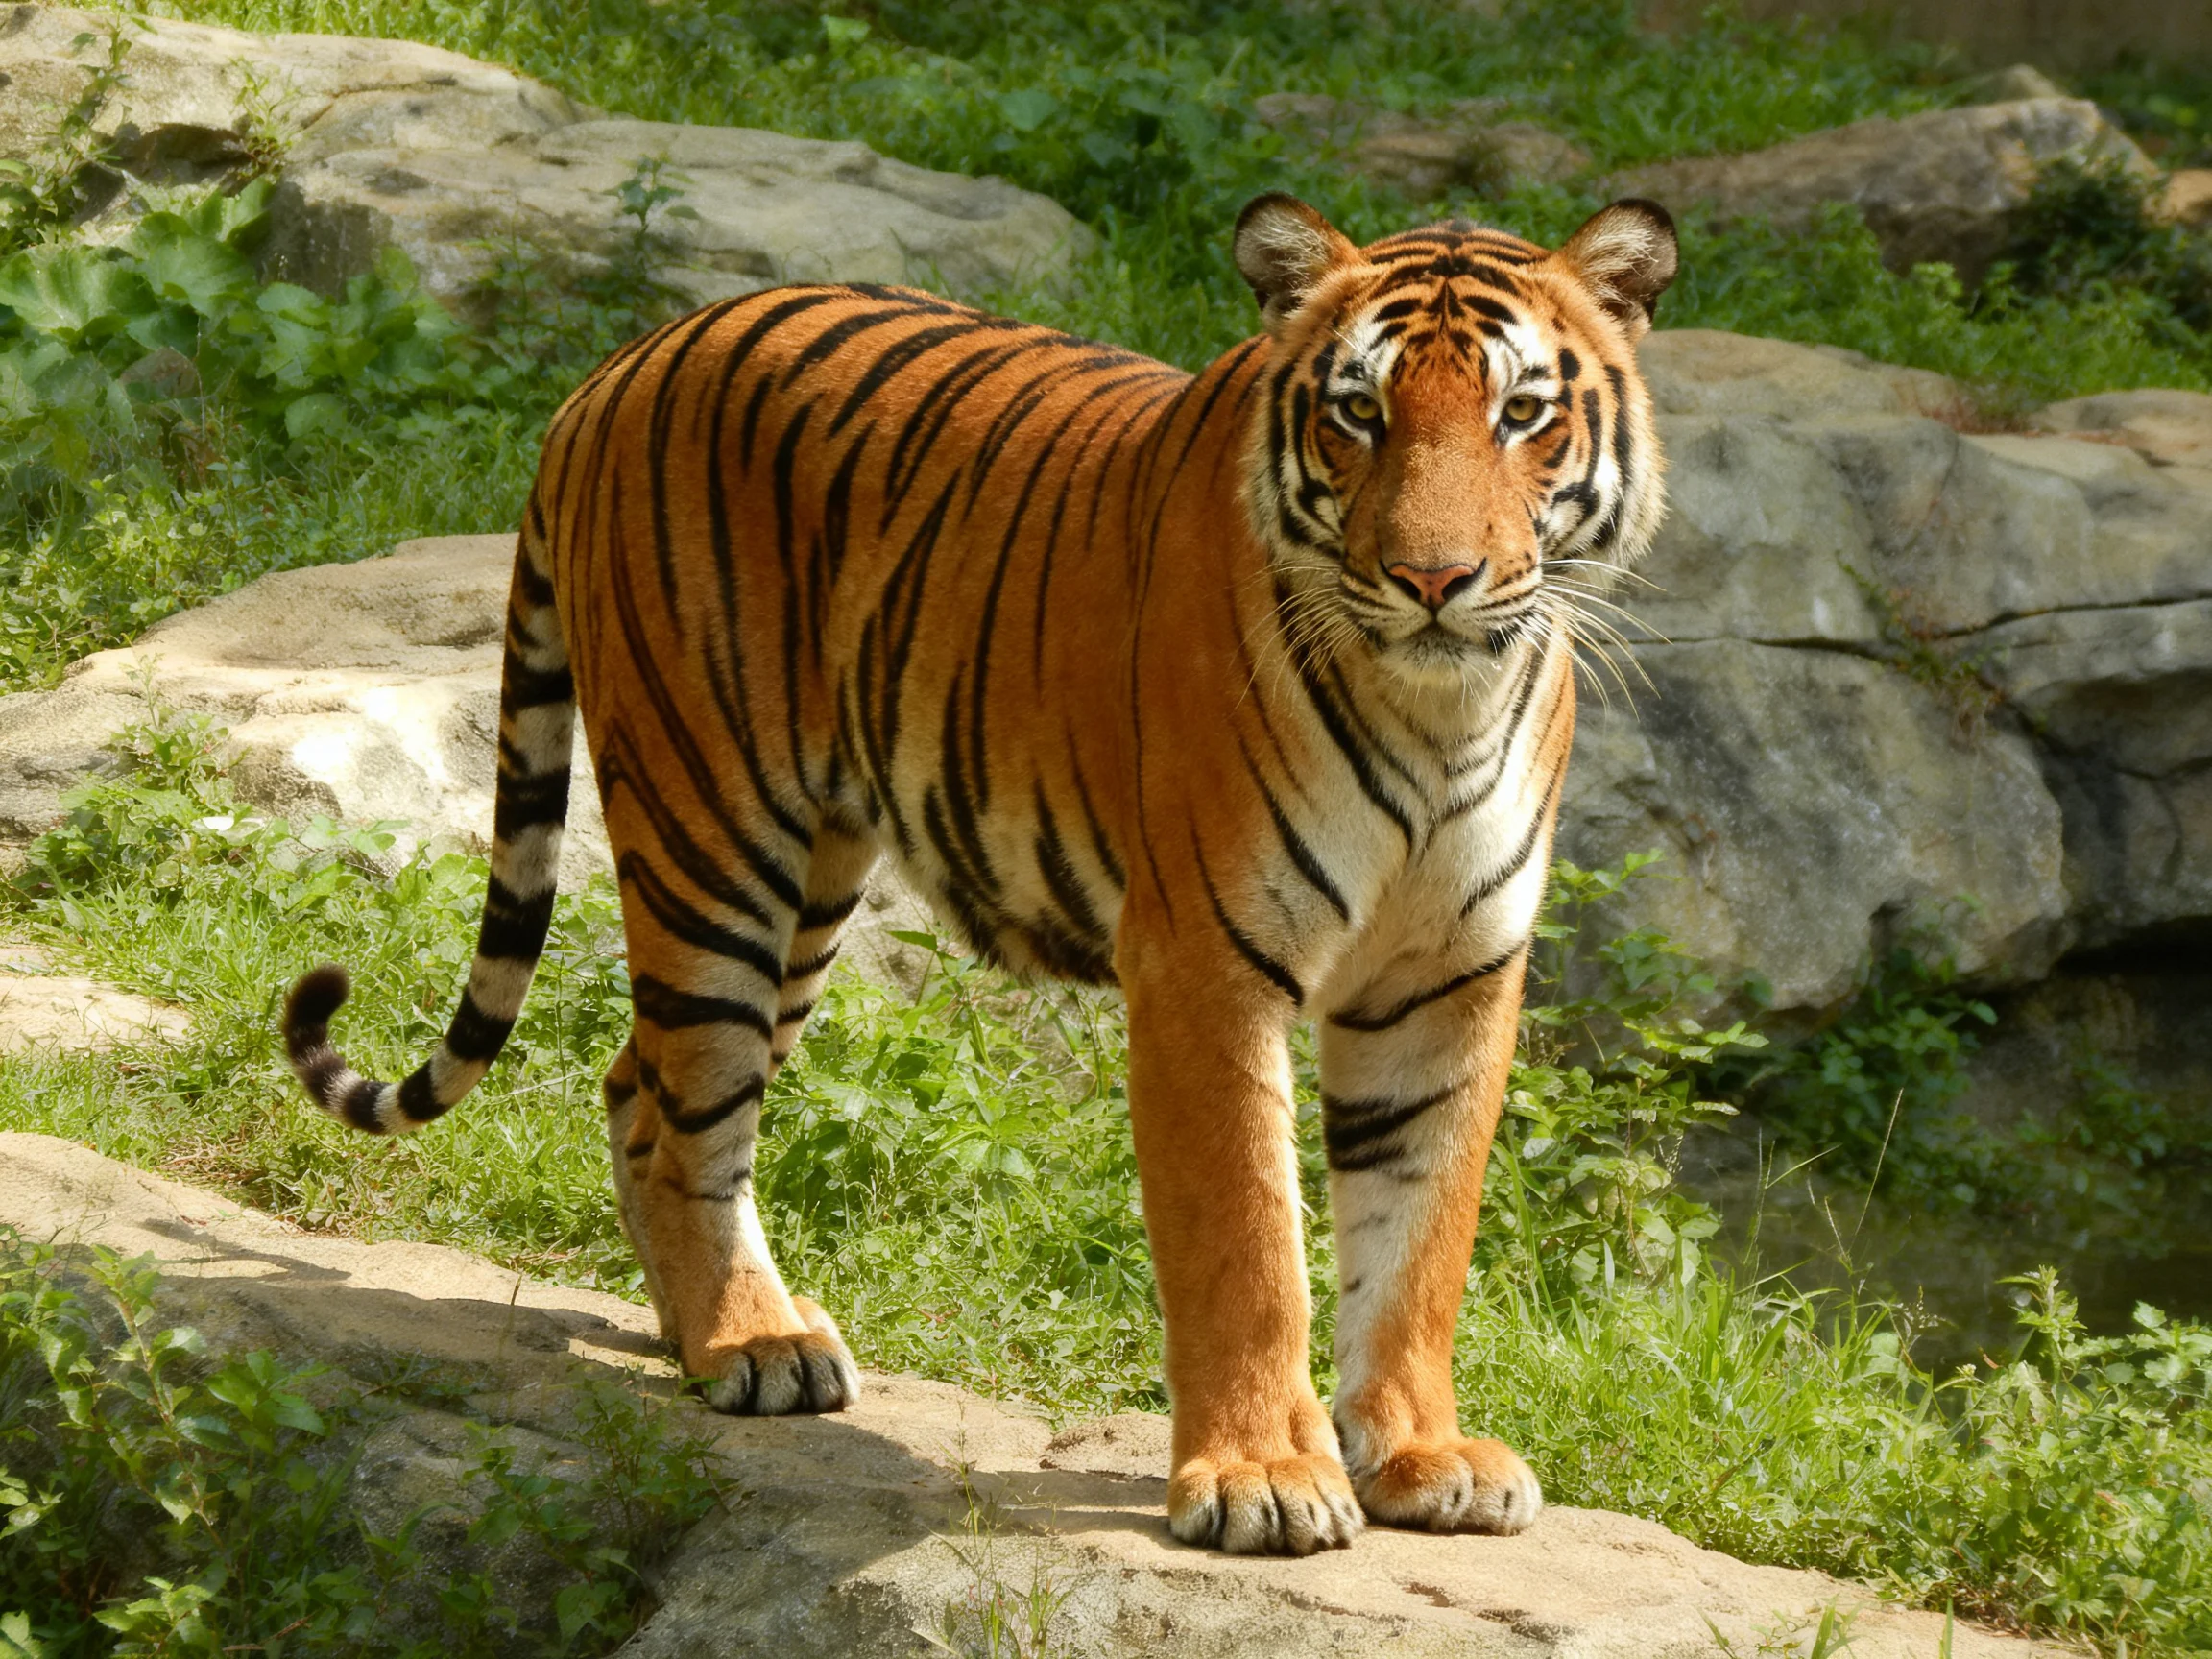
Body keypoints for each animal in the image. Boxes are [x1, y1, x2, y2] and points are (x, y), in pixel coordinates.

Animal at [282, 190, 1677, 1556]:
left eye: (1522, 414)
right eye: (1359, 414)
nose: (1435, 580)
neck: (1439, 708)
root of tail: (618, 365)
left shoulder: (1449, 978)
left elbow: (1420, 1236)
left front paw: (1422, 1455)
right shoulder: (1207, 962)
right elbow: (1247, 1242)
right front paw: (1263, 1479)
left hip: (810, 884)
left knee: (643, 1084)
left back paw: (699, 1331)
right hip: (712, 843)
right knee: (698, 1108)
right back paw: (751, 1343)